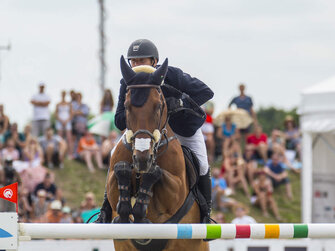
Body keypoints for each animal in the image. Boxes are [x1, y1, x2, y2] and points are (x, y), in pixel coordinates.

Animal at [106, 56, 209, 251]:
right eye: (126, 106)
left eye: (159, 106)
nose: (142, 160)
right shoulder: (112, 185)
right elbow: (120, 170)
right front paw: (125, 211)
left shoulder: (176, 191)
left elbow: (156, 173)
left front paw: (140, 212)